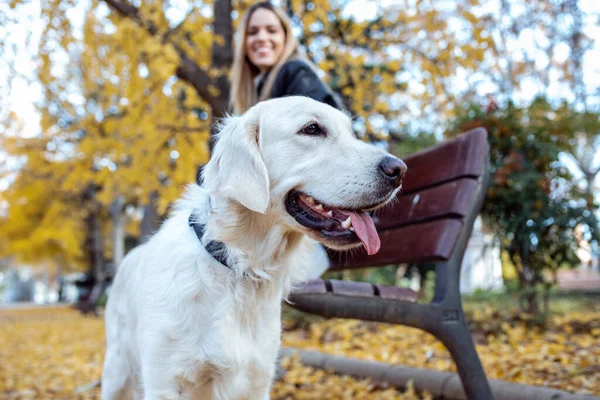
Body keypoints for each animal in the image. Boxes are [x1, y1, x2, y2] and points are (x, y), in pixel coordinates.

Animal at [101, 95, 406, 398]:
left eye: (351, 133)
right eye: (312, 129)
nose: (399, 169)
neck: (237, 265)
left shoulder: (258, 378)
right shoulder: (165, 380)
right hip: (116, 372)